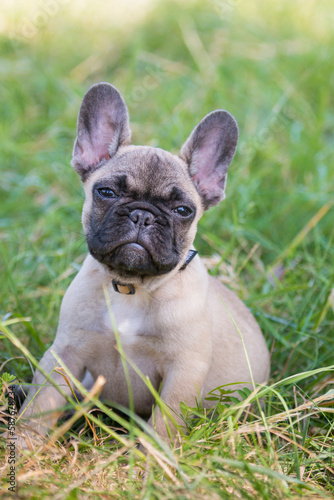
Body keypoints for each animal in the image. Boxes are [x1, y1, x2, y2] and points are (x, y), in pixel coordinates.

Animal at [17, 84, 270, 448]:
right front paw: (22, 445)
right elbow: (41, 403)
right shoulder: (65, 353)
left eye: (183, 210)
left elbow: (165, 424)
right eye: (106, 192)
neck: (131, 286)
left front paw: (153, 457)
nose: (142, 215)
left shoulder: (183, 372)